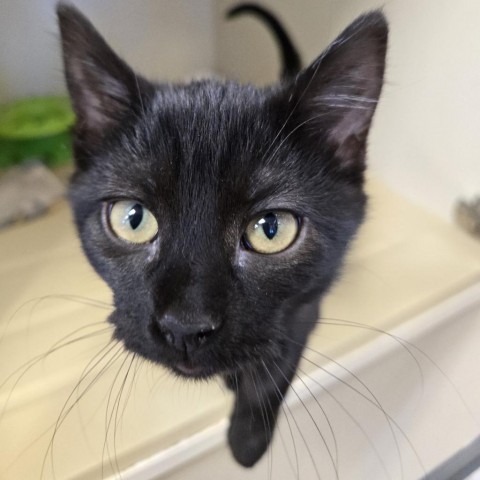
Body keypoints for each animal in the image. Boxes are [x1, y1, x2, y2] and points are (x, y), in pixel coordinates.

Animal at [57, 2, 386, 468]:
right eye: (133, 218)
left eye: (271, 229)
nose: (185, 327)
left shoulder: (306, 302)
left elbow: (274, 367)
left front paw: (247, 441)